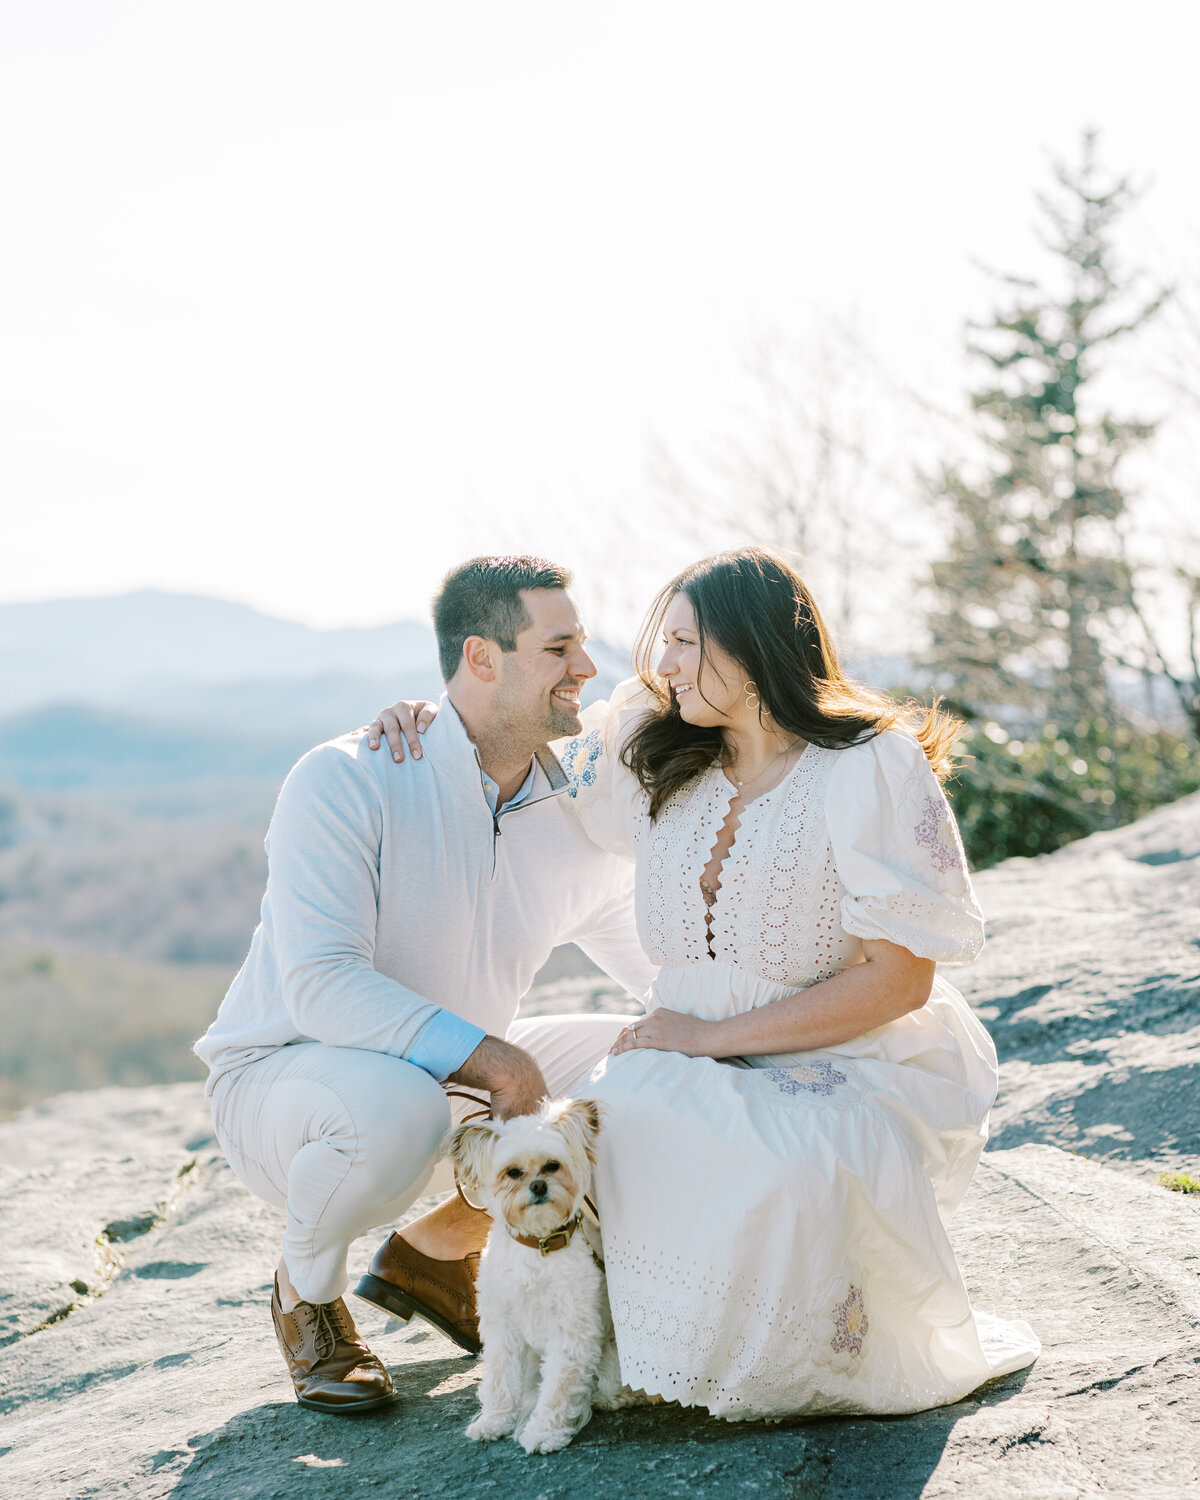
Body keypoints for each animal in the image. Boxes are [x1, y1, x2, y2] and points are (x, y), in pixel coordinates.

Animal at [450, 1092, 636, 1452]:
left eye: (552, 1166)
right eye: (513, 1172)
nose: (537, 1185)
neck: (538, 1246)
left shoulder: (571, 1331)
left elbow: (559, 1388)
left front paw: (544, 1432)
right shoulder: (502, 1328)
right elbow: (500, 1379)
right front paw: (494, 1421)